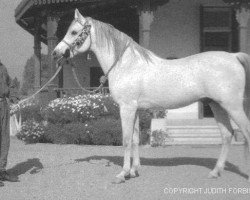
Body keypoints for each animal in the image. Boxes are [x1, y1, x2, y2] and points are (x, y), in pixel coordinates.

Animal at [53, 9, 250, 183]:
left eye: (74, 31)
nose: (56, 52)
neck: (126, 64)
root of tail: (234, 56)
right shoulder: (135, 109)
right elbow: (135, 139)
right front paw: (134, 171)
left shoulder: (127, 108)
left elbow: (126, 140)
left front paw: (122, 174)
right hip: (217, 105)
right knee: (227, 135)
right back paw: (215, 172)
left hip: (232, 106)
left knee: (244, 132)